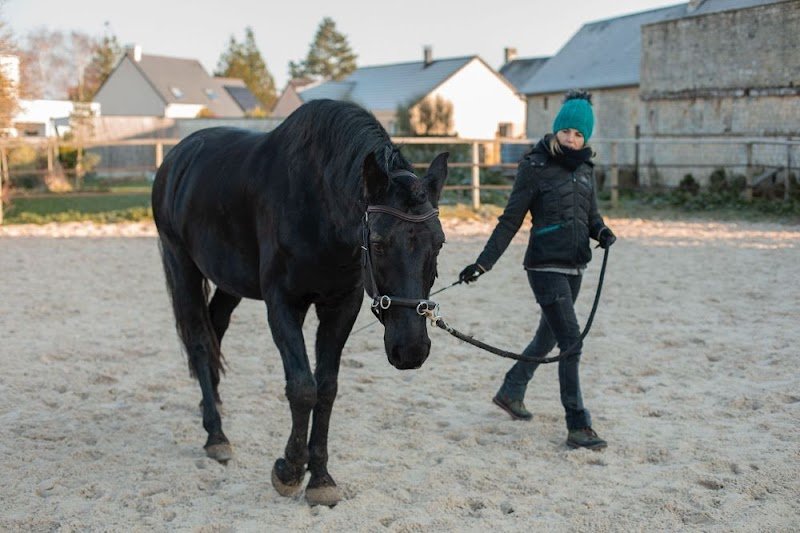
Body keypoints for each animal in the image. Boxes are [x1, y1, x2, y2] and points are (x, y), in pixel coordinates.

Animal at [151, 99, 448, 506]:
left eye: (439, 243)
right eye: (379, 242)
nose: (411, 349)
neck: (317, 205)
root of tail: (175, 159)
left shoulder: (341, 307)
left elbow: (326, 389)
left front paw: (320, 477)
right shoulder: (282, 304)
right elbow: (303, 387)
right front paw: (290, 470)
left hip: (230, 280)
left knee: (216, 328)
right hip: (180, 263)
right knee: (198, 338)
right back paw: (216, 435)